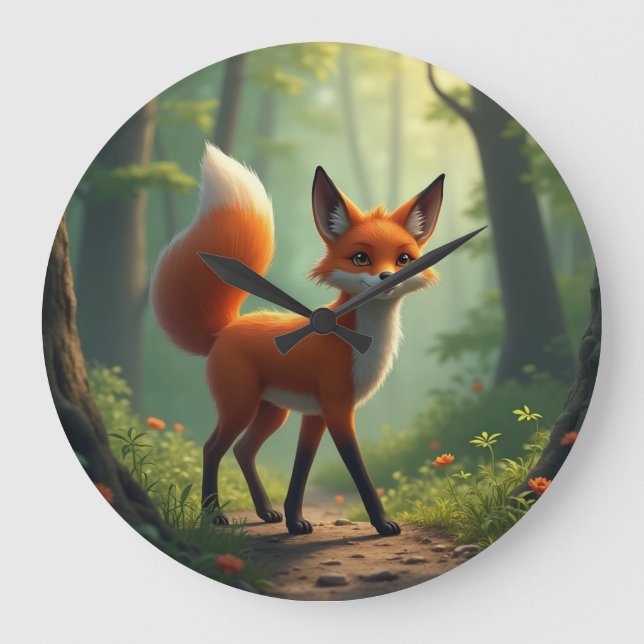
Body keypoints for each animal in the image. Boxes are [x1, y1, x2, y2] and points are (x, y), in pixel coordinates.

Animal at [151, 143, 444, 536]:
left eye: (403, 259)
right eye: (361, 258)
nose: (387, 278)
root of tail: (225, 328)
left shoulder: (314, 415)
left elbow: (302, 466)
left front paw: (294, 520)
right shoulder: (337, 409)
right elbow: (358, 469)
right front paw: (382, 523)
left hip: (273, 413)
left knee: (243, 450)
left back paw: (265, 512)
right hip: (240, 405)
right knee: (212, 448)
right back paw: (214, 515)